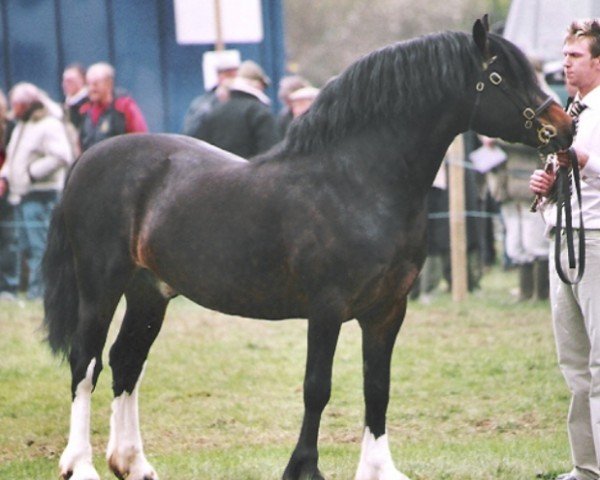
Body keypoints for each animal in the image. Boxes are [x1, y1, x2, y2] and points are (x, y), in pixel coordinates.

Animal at [43, 17, 572, 480]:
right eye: (500, 76)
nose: (564, 127)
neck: (359, 182)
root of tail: (88, 159)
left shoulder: (387, 309)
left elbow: (377, 387)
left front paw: (379, 469)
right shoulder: (327, 308)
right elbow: (317, 387)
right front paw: (303, 468)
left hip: (149, 291)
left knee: (126, 361)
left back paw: (132, 463)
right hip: (101, 287)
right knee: (86, 363)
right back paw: (81, 465)